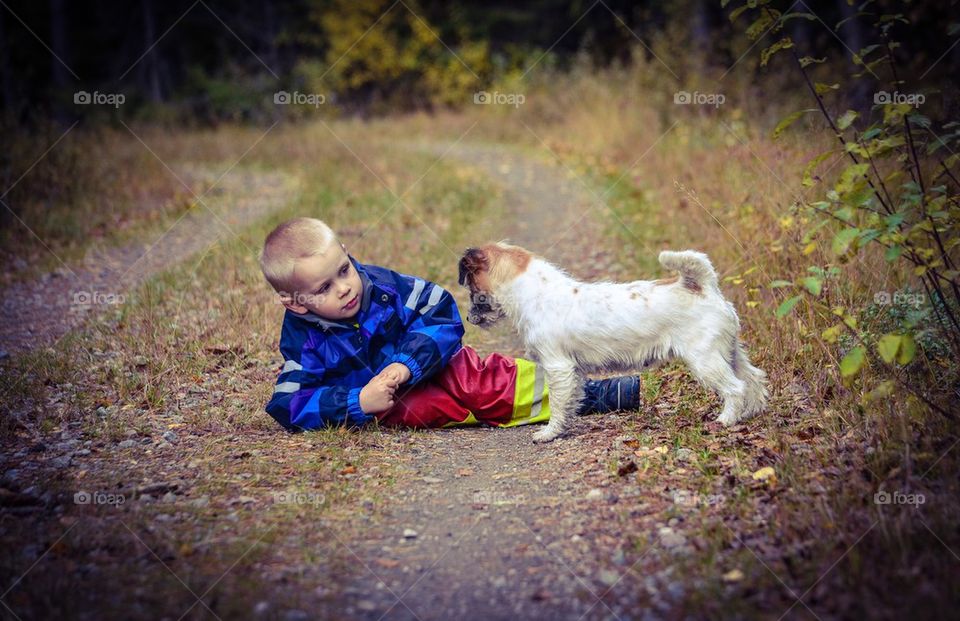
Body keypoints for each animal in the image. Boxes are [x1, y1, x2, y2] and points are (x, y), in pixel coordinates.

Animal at [460, 242, 772, 440]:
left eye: (472, 287)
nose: (469, 318)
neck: (535, 293)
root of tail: (702, 287)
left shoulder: (557, 367)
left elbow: (559, 403)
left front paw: (549, 433)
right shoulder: (572, 371)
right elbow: (570, 401)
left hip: (706, 360)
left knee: (735, 388)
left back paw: (726, 420)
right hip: (730, 353)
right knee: (753, 380)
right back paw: (751, 413)